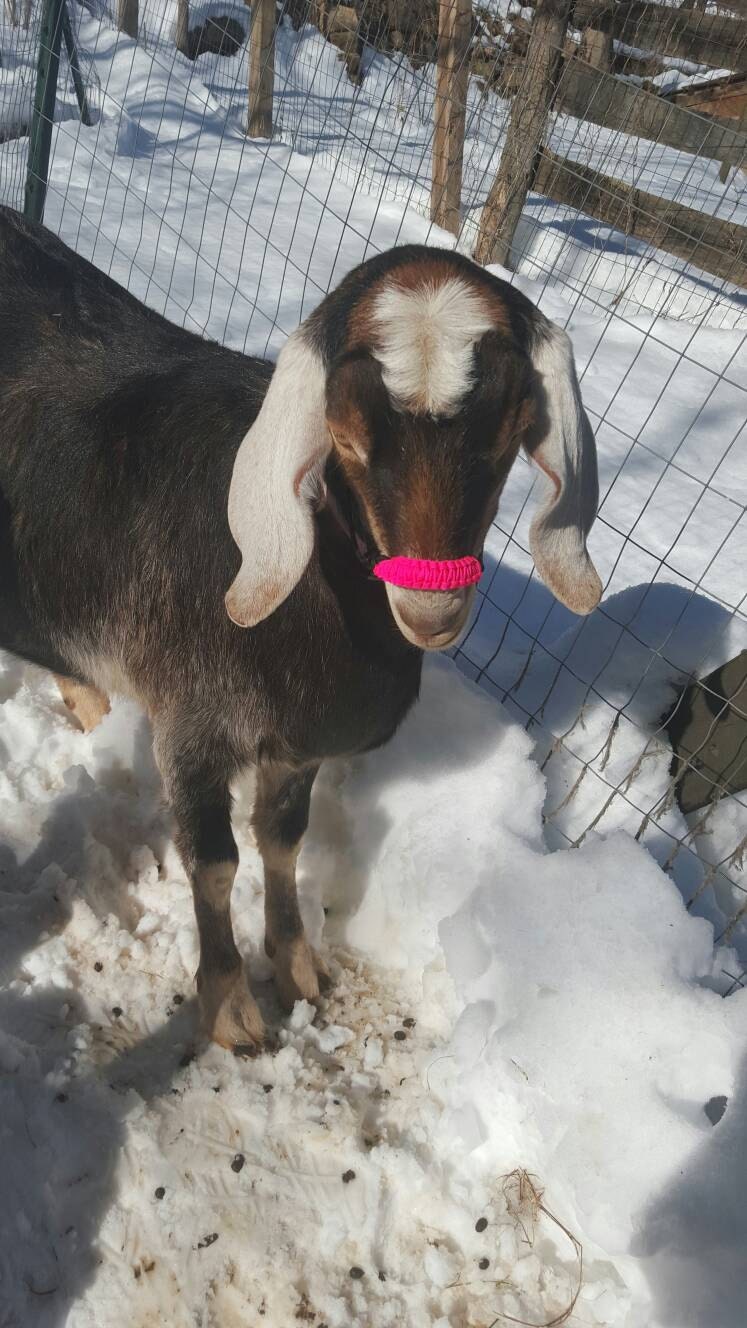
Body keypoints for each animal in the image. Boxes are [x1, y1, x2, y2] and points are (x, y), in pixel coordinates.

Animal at [0, 207, 601, 1052]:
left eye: (515, 429)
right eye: (342, 436)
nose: (433, 611)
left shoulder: (297, 745)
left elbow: (281, 838)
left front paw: (297, 968)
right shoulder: (193, 722)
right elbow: (216, 862)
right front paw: (230, 1008)